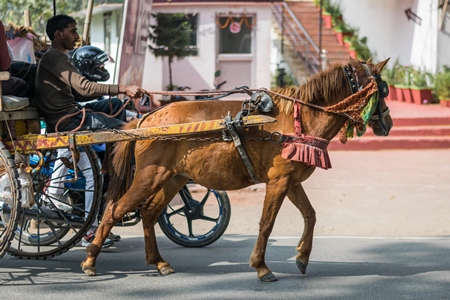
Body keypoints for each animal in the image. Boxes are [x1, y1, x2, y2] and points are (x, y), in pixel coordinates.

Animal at [82, 56, 392, 282]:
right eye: (382, 90)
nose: (387, 123)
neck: (301, 118)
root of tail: (147, 119)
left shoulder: (291, 180)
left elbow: (311, 215)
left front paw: (302, 257)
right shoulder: (279, 181)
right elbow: (267, 223)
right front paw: (261, 267)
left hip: (173, 178)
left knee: (149, 212)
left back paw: (158, 262)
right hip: (149, 176)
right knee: (113, 211)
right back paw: (91, 259)